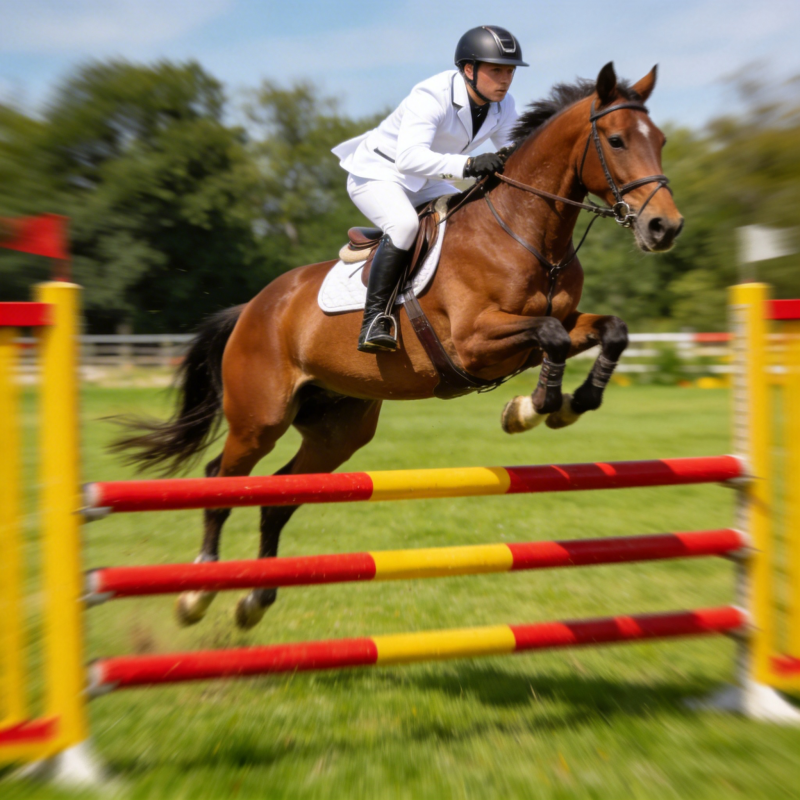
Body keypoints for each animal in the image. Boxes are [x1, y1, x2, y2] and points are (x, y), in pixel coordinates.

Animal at [115, 62, 683, 629]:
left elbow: (608, 331)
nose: (665, 227)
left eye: (660, 140)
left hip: (338, 431)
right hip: (260, 419)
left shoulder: (554, 322)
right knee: (221, 481)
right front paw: (533, 407)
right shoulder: (473, 342)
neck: (527, 233)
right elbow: (553, 337)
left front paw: (569, 403)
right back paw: (198, 592)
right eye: (616, 140)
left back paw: (255, 597)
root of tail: (253, 308)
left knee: (280, 495)